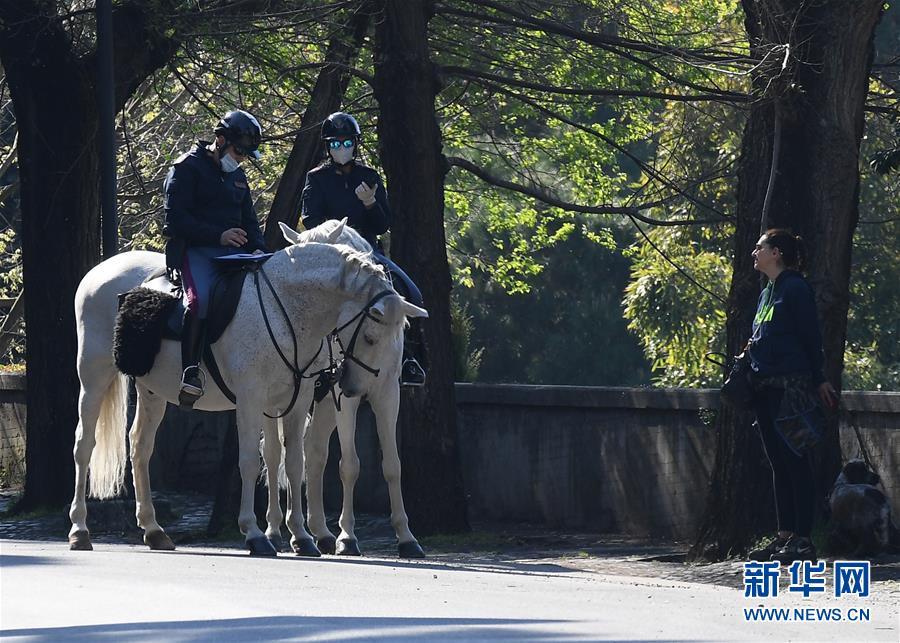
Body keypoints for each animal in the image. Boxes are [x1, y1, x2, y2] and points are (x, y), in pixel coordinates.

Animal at [69, 223, 406, 556]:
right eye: (371, 336)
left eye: (395, 332)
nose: (352, 384)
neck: (286, 308)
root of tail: (99, 270)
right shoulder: (251, 399)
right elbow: (249, 461)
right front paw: (256, 534)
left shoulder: (297, 401)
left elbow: (295, 463)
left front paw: (302, 536)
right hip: (94, 377)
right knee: (84, 444)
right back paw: (80, 530)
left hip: (152, 389)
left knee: (140, 446)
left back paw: (153, 530)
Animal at [262, 220, 429, 558]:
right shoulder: (344, 397)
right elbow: (350, 465)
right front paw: (348, 537)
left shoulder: (387, 393)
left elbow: (392, 465)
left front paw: (407, 537)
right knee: (274, 454)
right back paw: (275, 531)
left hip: (322, 402)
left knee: (312, 453)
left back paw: (318, 532)